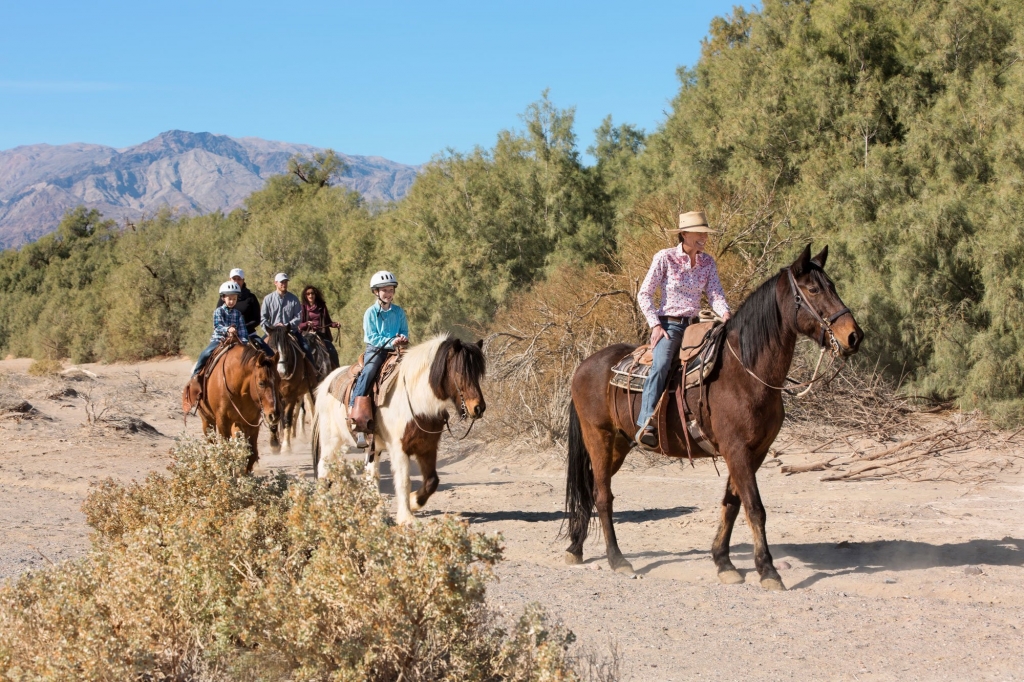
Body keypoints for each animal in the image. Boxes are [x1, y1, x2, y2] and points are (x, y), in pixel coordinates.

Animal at [193, 342, 282, 471]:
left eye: (279, 381)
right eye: (261, 383)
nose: (274, 415)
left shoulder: (252, 423)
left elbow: (251, 454)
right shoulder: (223, 422)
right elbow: (226, 453)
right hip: (207, 421)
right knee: (211, 443)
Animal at [311, 333, 487, 520]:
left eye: (478, 373)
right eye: (460, 372)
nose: (478, 408)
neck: (417, 401)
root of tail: (325, 383)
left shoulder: (427, 447)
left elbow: (432, 481)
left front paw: (414, 502)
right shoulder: (399, 448)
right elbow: (403, 481)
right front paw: (406, 518)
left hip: (372, 447)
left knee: (371, 474)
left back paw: (376, 508)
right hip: (331, 441)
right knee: (324, 468)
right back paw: (322, 505)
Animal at [565, 245, 860, 589]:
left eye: (833, 286)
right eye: (813, 289)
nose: (854, 336)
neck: (746, 372)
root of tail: (584, 366)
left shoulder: (754, 452)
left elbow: (732, 504)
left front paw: (724, 562)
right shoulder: (736, 450)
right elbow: (755, 508)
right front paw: (767, 570)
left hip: (619, 445)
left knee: (591, 490)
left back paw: (575, 547)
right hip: (599, 437)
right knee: (602, 496)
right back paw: (617, 559)